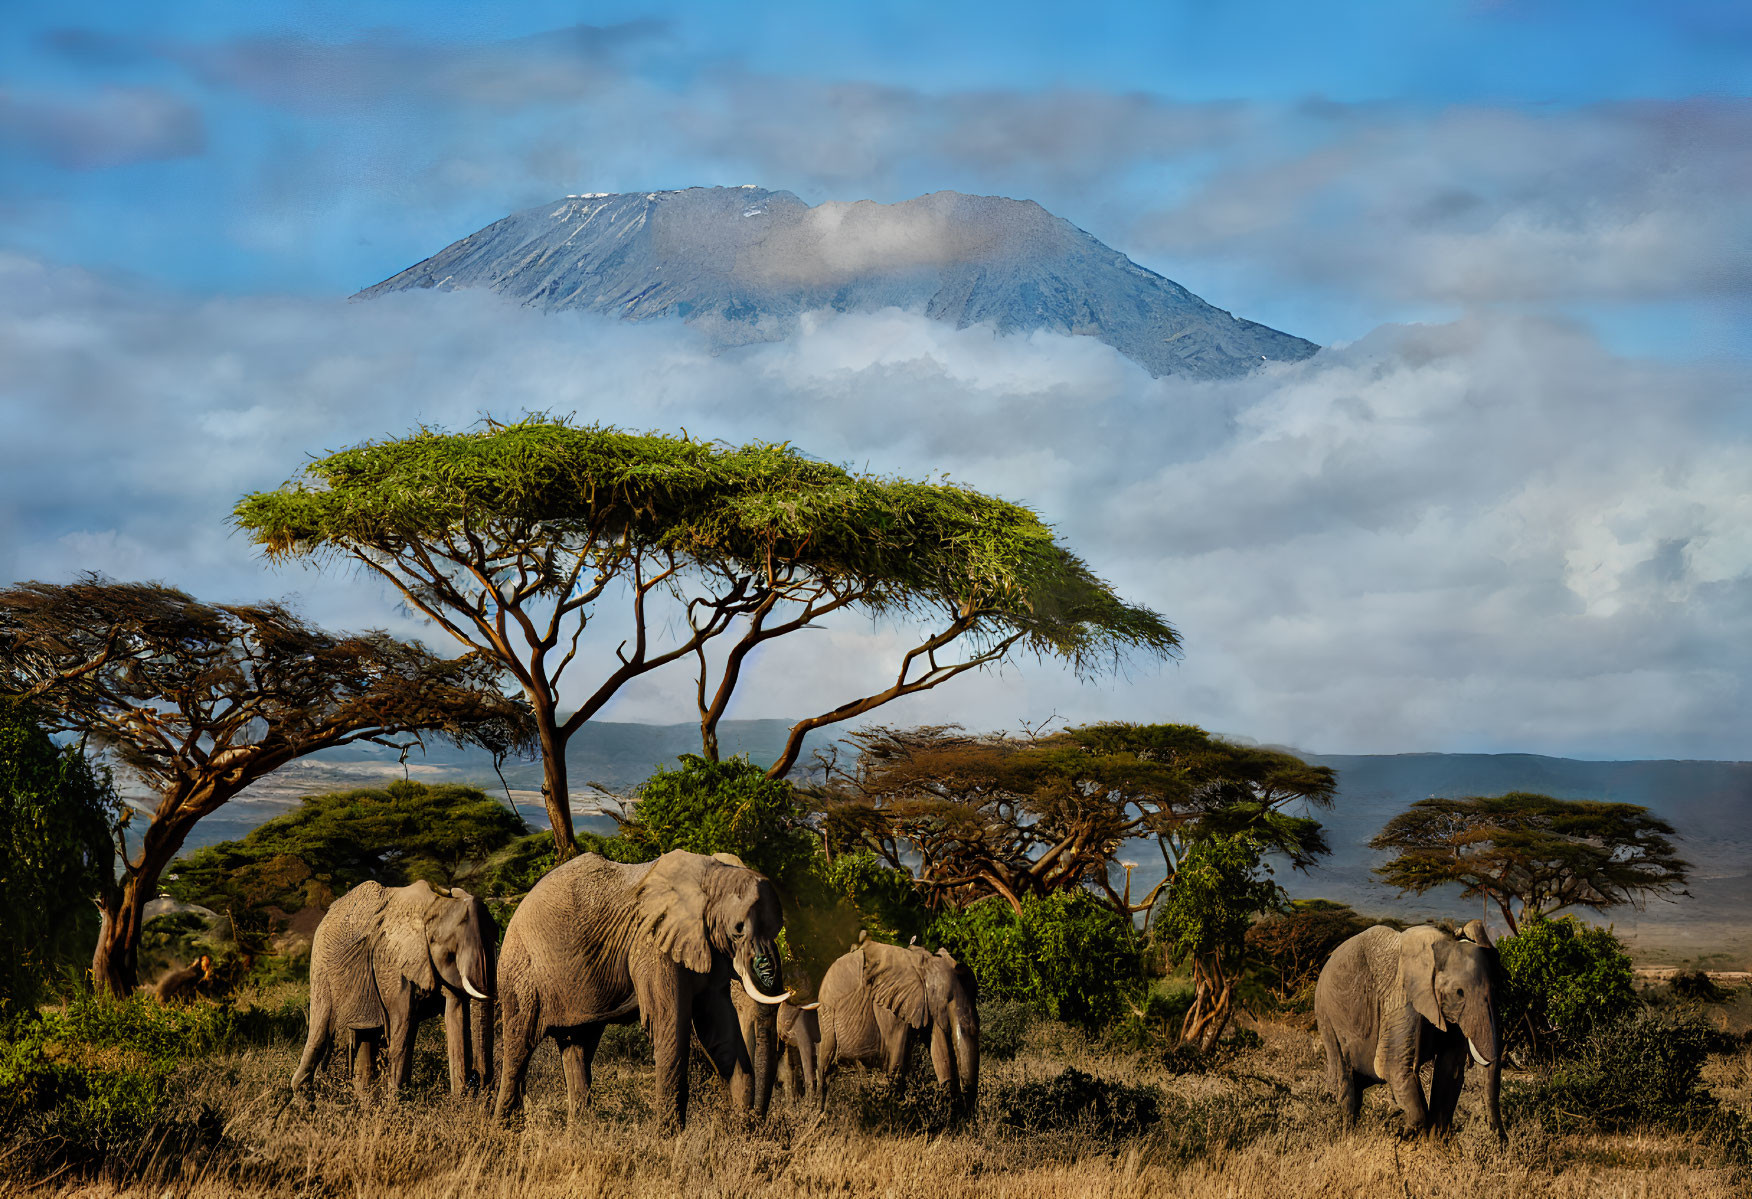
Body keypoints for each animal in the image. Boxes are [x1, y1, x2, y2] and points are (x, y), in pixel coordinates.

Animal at [289, 879, 494, 1107]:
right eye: (451, 950)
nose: (477, 1080)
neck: (435, 904)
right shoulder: (391, 962)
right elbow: (402, 1020)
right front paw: (396, 1105)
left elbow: (455, 1012)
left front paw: (458, 1105)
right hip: (321, 967)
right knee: (320, 1030)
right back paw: (303, 1101)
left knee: (366, 1034)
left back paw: (365, 1102)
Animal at [497, 848, 791, 1128]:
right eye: (738, 929)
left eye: (778, 928)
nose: (754, 1122)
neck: (713, 875)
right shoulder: (653, 944)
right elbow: (668, 1023)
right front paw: (669, 1139)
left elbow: (720, 1033)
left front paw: (741, 1133)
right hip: (521, 971)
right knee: (519, 1047)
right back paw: (505, 1133)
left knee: (577, 1047)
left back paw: (578, 1135)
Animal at [812, 939, 981, 1114]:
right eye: (948, 998)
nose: (966, 1112)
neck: (922, 962)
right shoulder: (888, 1008)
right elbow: (896, 1065)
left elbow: (939, 1051)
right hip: (826, 1016)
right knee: (824, 1068)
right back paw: (819, 1114)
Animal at [1317, 925, 1506, 1135]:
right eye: (1459, 992)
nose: (1501, 1138)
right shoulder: (1401, 999)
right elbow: (1393, 1065)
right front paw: (1403, 1133)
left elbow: (1449, 1069)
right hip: (1327, 1017)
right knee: (1346, 1080)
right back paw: (1347, 1133)